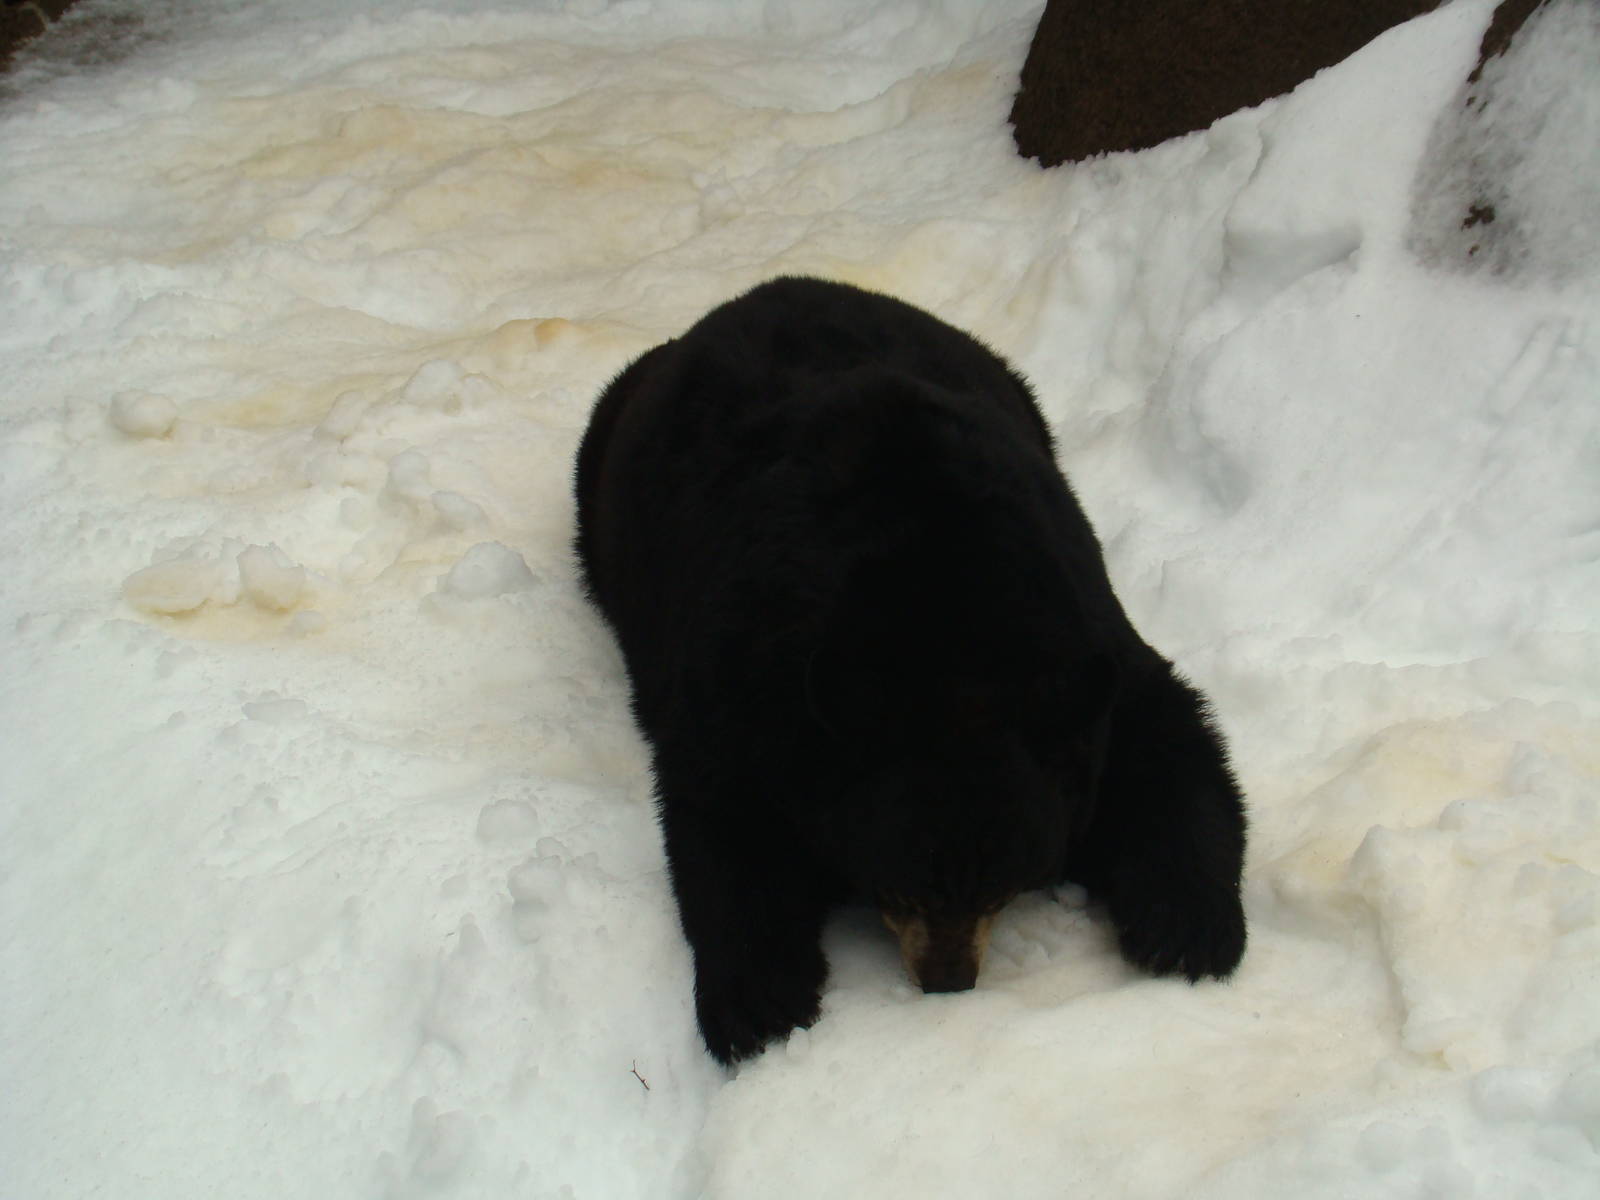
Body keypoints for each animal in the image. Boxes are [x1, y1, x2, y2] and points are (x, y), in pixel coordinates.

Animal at [574, 276, 1246, 1065]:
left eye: (1001, 888)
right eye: (902, 887)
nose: (949, 981)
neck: (948, 635)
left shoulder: (1083, 649)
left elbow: (1165, 736)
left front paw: (1189, 928)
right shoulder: (745, 675)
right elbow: (723, 818)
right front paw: (758, 1003)